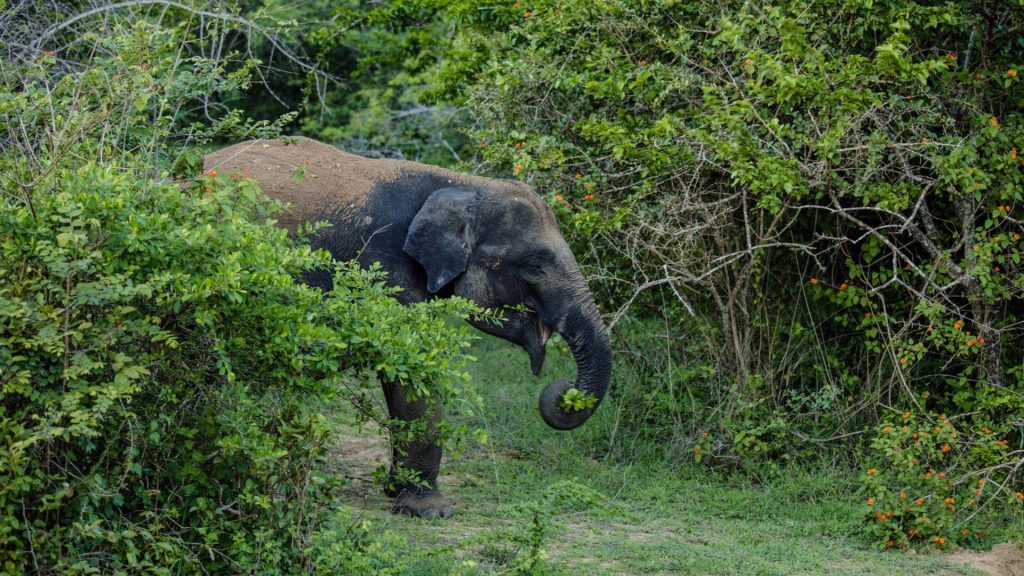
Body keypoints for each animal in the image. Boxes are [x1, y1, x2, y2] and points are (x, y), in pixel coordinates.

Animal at [204, 137, 612, 519]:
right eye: (534, 266)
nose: (562, 390)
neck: (458, 184)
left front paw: (396, 493)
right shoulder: (384, 263)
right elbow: (411, 365)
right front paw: (430, 511)